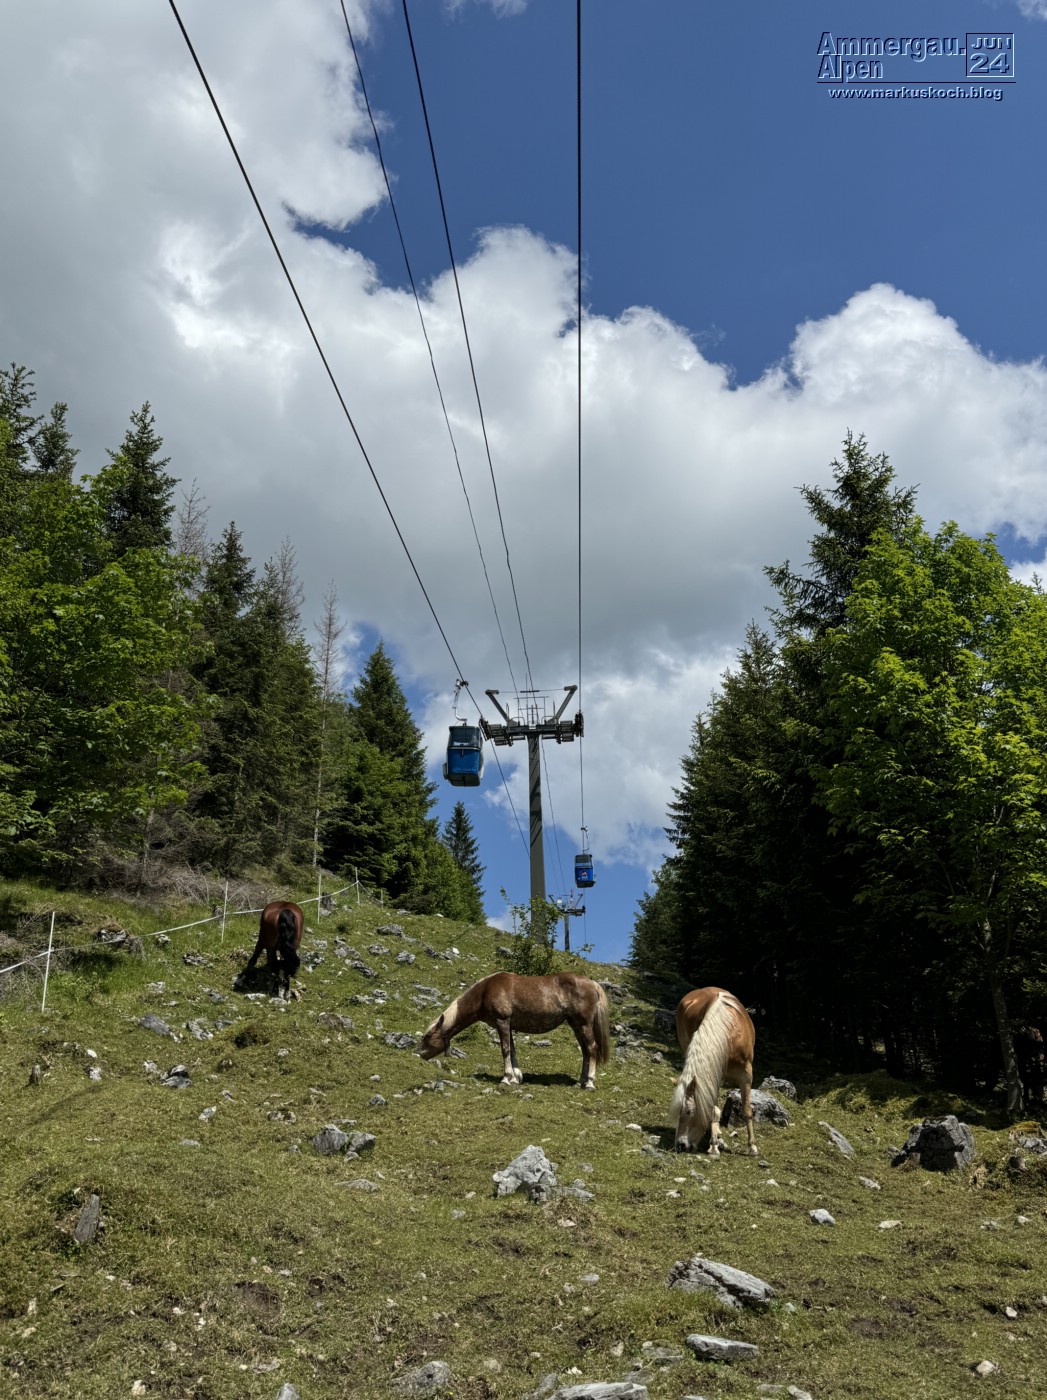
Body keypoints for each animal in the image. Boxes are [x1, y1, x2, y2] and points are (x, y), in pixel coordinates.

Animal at [419, 972, 611, 1089]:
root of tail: (592, 983)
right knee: (585, 1052)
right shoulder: (507, 1025)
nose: (419, 1055)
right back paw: (580, 1082)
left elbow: (505, 1050)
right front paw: (516, 1077)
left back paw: (590, 1083)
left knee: (592, 1049)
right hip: (576, 1025)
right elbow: (512, 1049)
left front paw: (506, 1078)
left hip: (584, 1024)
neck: (485, 992)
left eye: (427, 1037)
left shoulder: (502, 1022)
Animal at [670, 986, 757, 1157]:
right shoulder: (714, 1076)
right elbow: (713, 1111)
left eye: (689, 1112)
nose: (680, 1145)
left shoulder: (746, 1074)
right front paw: (714, 1145)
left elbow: (747, 1110)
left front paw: (752, 1147)